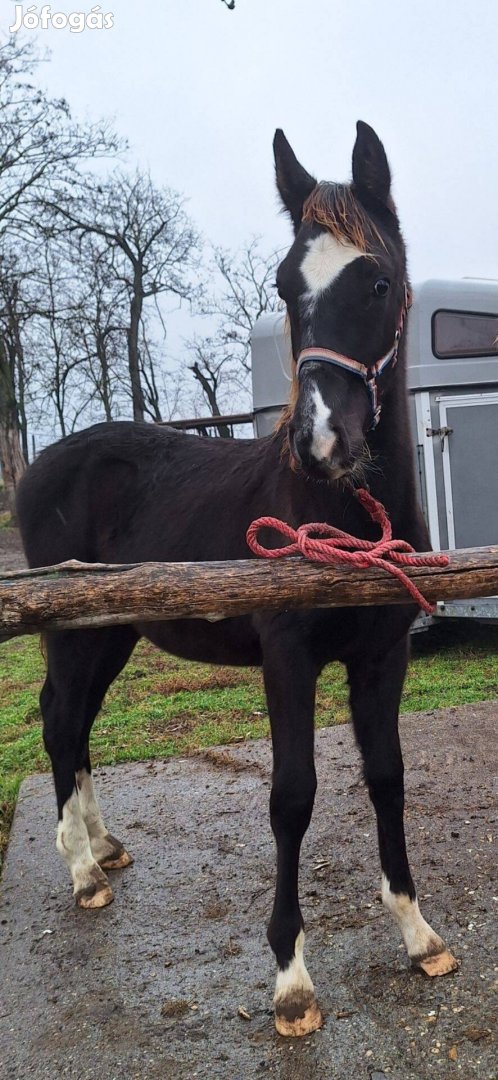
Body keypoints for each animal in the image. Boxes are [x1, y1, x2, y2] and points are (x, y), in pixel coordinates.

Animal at [16, 120, 458, 1036]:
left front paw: (417, 932)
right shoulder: (288, 659)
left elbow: (387, 777)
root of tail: (42, 464)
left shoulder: (385, 655)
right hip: (72, 631)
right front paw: (291, 977)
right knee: (59, 720)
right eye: (287, 286)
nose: (321, 443)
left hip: (111, 633)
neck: (339, 513)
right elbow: (292, 796)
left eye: (379, 280)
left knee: (76, 723)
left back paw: (102, 845)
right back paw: (82, 871)